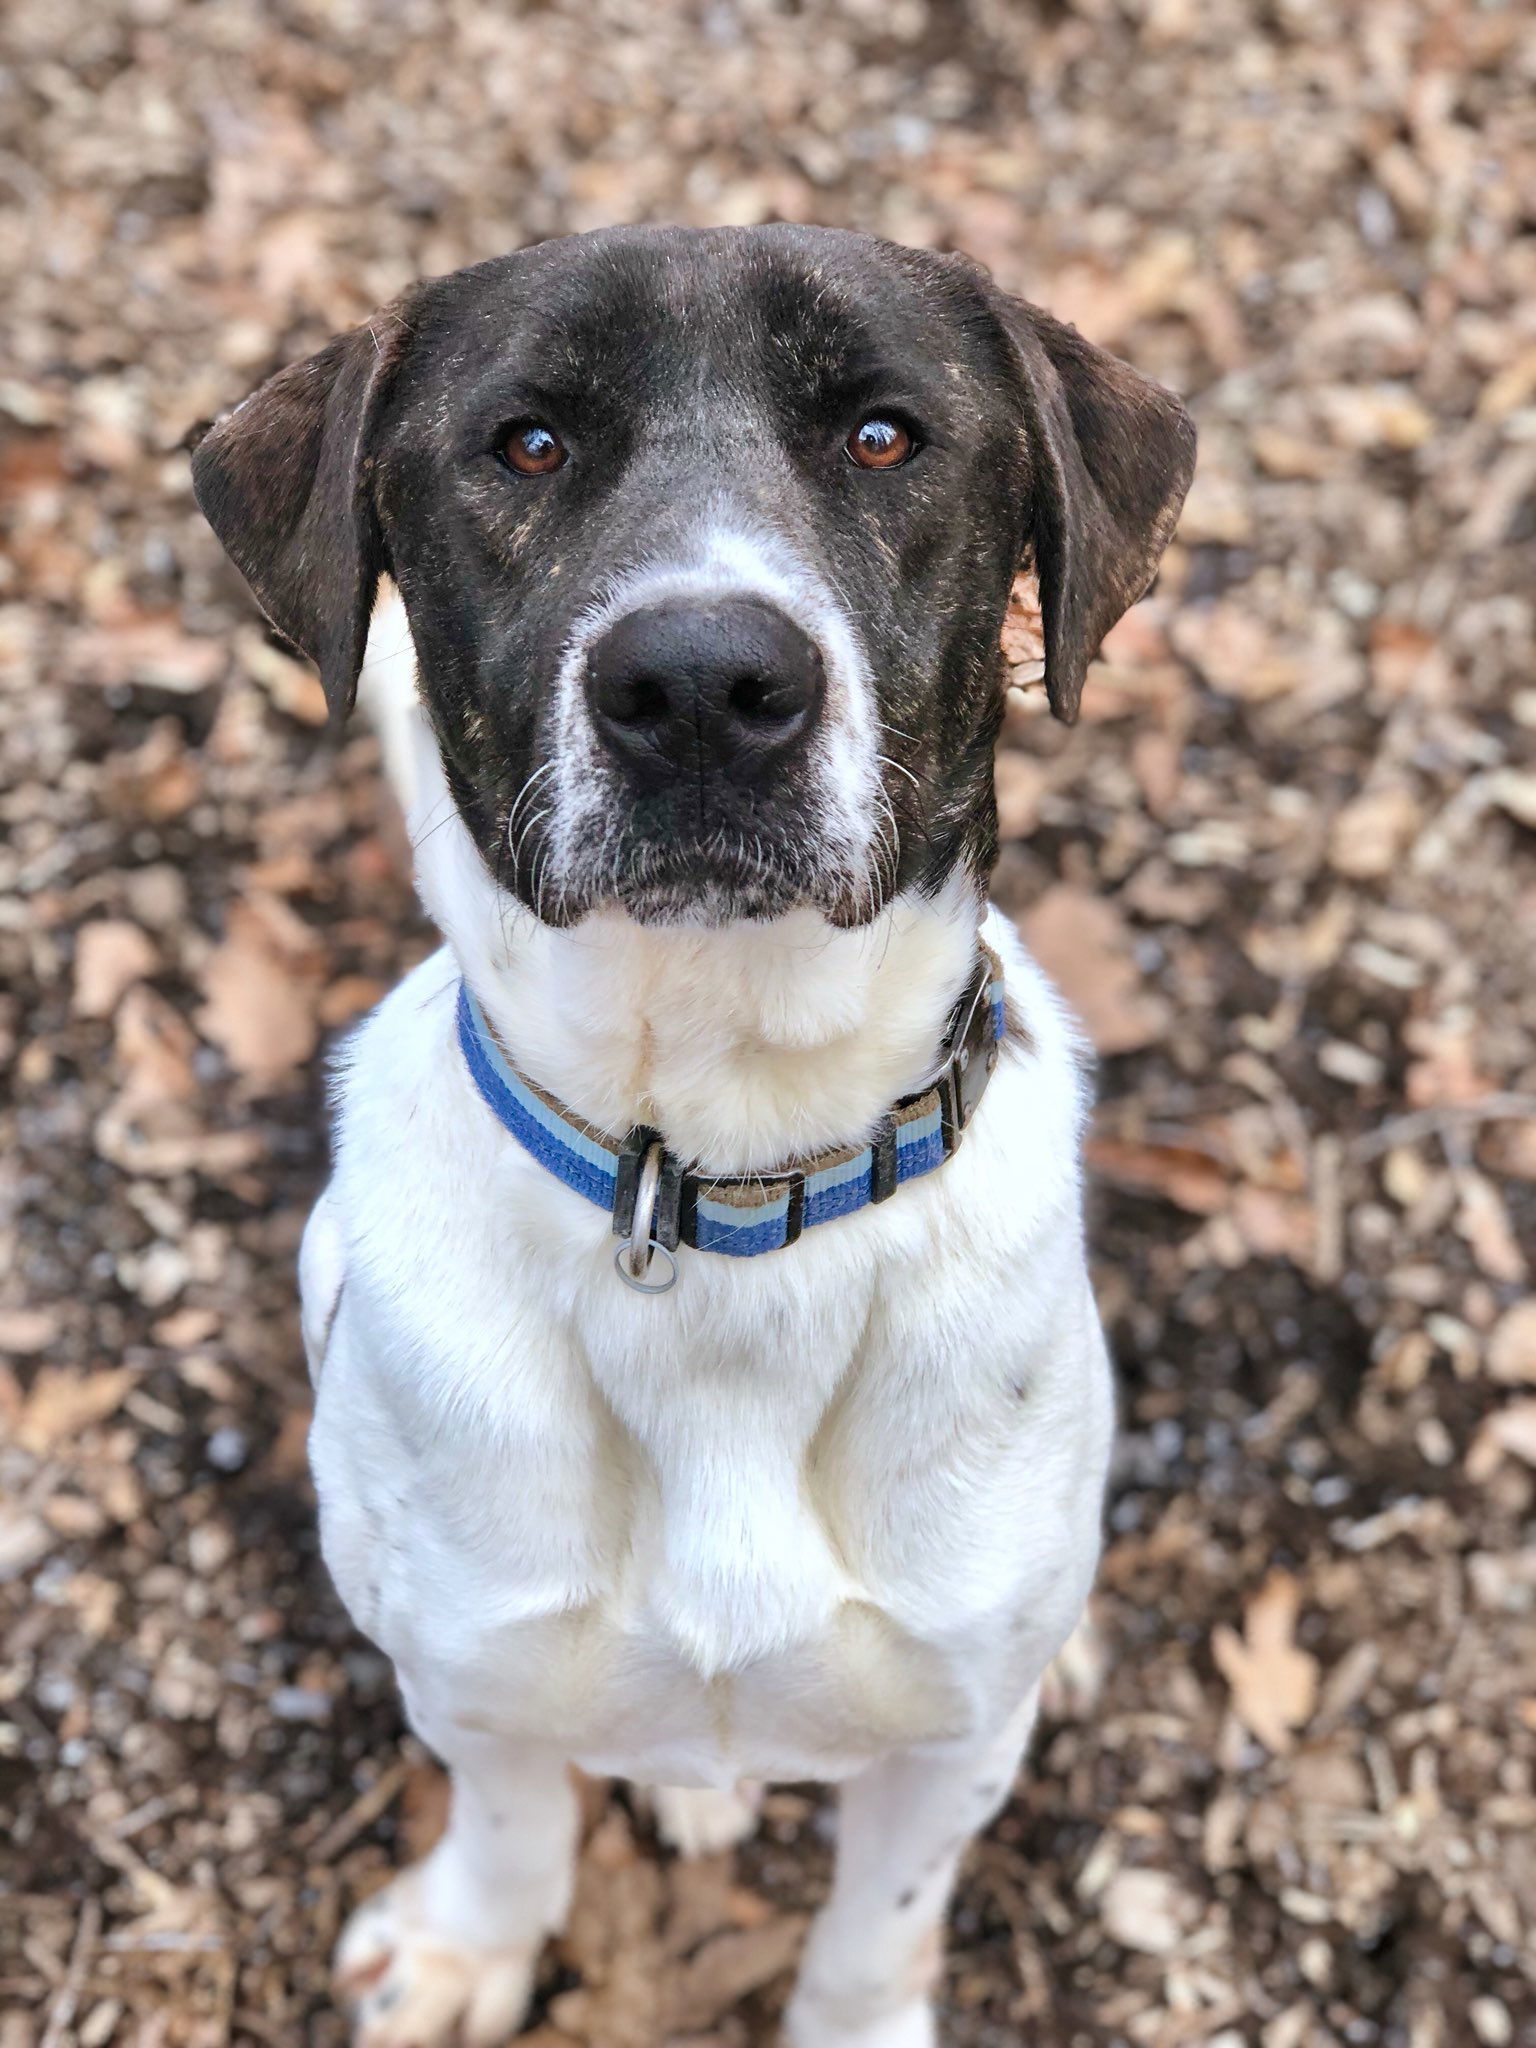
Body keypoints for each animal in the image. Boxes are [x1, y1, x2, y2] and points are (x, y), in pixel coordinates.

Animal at [192, 224, 1196, 2048]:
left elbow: (878, 1925)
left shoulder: (948, 1736)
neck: (729, 1166)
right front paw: (471, 1944)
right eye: (526, 444)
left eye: (883, 435)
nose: (706, 687)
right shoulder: (469, 1664)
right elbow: (511, 1811)